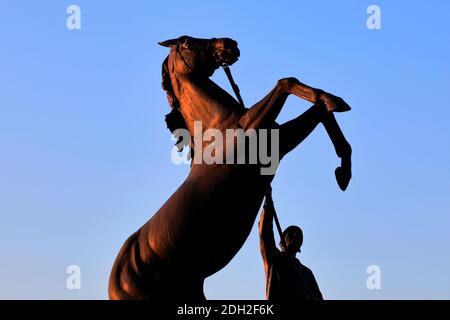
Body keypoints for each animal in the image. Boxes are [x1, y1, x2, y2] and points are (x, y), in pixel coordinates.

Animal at [108, 35, 352, 300]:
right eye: (186, 42)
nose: (228, 43)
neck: (216, 126)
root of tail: (115, 281)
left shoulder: (281, 139)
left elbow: (320, 111)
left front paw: (343, 170)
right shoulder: (258, 129)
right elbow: (286, 83)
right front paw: (335, 103)